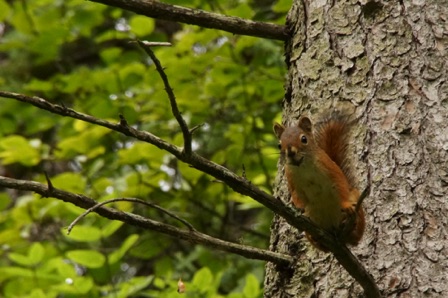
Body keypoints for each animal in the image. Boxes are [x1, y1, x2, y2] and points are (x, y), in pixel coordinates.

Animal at [272, 113, 364, 250]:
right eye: (279, 145)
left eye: (304, 139)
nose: (290, 152)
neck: (303, 166)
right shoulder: (292, 181)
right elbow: (296, 195)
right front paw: (299, 209)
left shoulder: (332, 170)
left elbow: (340, 184)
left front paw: (346, 205)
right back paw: (315, 238)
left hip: (355, 200)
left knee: (355, 238)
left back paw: (352, 225)